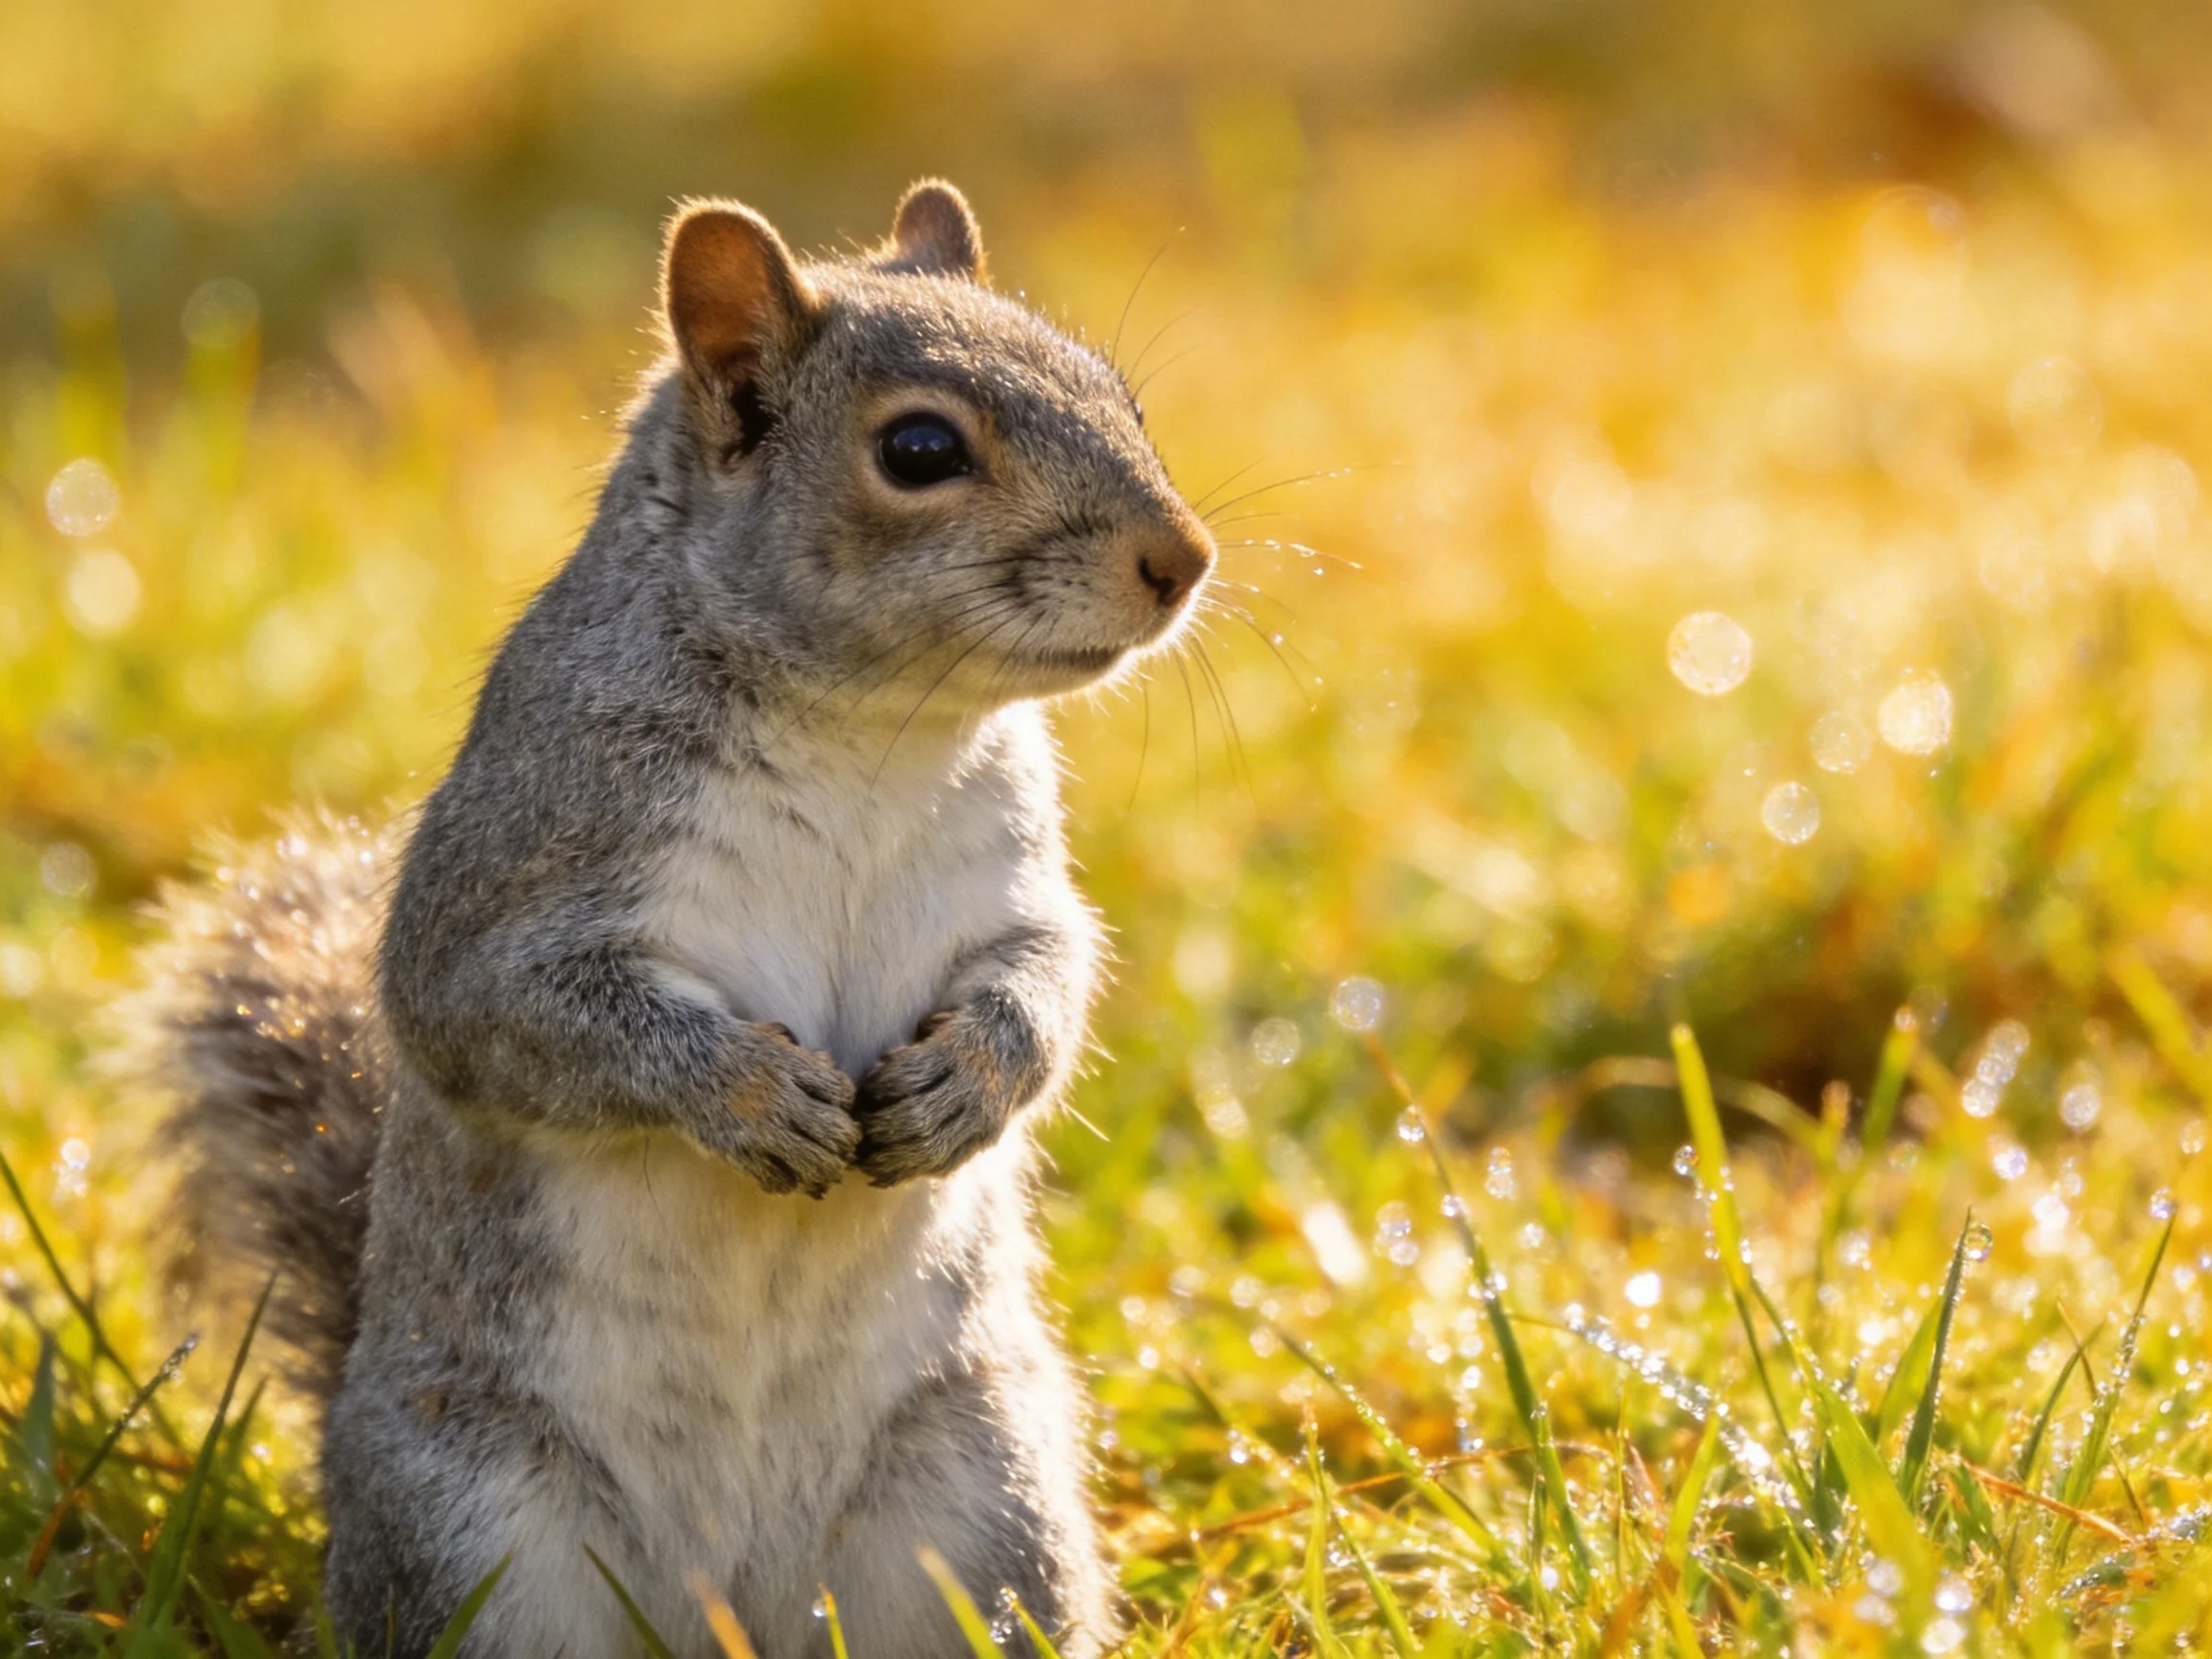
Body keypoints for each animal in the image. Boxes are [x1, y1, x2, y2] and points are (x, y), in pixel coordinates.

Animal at [117, 180, 1214, 1659]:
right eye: (920, 449)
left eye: (1125, 399)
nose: (1184, 559)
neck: (868, 729)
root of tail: (730, 1606)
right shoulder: (520, 863)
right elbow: (502, 1012)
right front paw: (746, 1095)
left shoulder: (1009, 884)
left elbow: (1048, 973)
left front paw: (966, 1084)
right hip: (483, 1540)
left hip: (984, 1505)